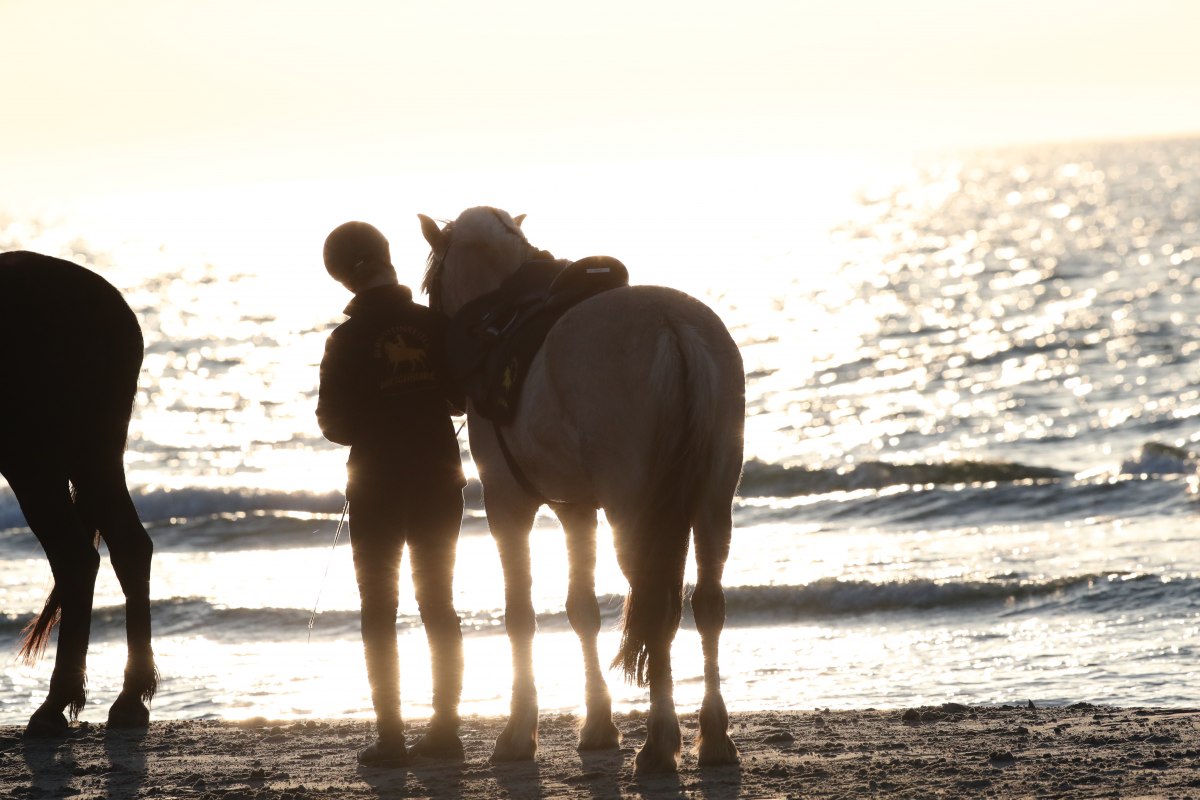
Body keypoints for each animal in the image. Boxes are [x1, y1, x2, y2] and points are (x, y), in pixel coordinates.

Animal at [0, 251, 157, 736]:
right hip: (92, 455)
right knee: (127, 546)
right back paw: (128, 698)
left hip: (37, 458)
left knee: (75, 557)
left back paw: (59, 703)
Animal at [419, 207, 745, 774]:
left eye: (431, 282)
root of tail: (673, 327)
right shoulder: (575, 509)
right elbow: (582, 609)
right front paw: (597, 725)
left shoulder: (508, 503)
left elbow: (521, 615)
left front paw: (518, 731)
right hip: (712, 501)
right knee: (706, 604)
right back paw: (713, 737)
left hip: (633, 510)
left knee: (657, 607)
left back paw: (659, 741)